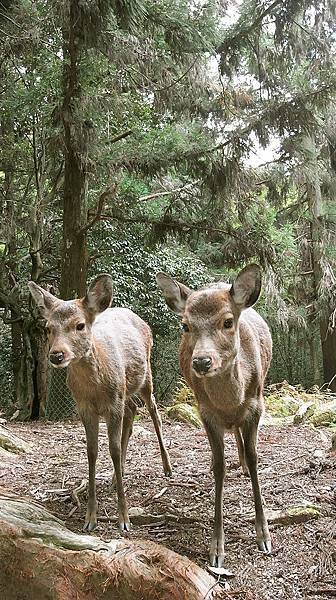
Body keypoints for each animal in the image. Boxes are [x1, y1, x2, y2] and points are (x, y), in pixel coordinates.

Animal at [27, 274, 172, 532]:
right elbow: (92, 451)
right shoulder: (85, 408)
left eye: (80, 325)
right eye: (48, 328)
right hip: (125, 391)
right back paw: (116, 476)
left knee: (154, 410)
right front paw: (90, 518)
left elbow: (112, 450)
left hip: (146, 376)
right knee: (132, 410)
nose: (56, 355)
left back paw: (167, 467)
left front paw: (124, 519)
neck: (95, 390)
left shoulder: (113, 405)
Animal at [156, 266, 272, 568]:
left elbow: (255, 458)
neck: (231, 401)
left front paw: (264, 535)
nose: (201, 361)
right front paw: (216, 548)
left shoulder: (257, 404)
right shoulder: (206, 412)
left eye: (228, 321)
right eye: (186, 326)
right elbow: (220, 467)